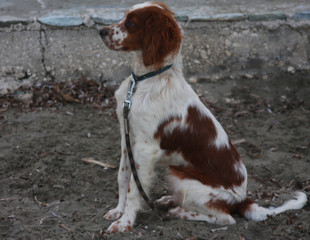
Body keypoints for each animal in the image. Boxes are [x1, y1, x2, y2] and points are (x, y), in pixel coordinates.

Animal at [98, 1, 306, 232]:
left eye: (132, 23)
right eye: (125, 17)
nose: (101, 31)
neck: (144, 81)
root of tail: (243, 200)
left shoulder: (145, 149)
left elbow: (135, 189)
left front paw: (125, 222)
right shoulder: (128, 139)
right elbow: (123, 177)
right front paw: (118, 211)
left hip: (185, 180)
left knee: (225, 218)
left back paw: (180, 212)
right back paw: (169, 201)